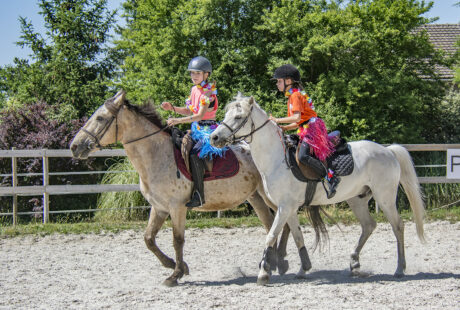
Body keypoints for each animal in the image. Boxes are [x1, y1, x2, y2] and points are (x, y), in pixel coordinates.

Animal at [210, 94, 426, 286]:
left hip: (385, 198)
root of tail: (387, 150)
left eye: (238, 117)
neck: (276, 159)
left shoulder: (285, 207)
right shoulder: (288, 208)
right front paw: (303, 269)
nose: (214, 137)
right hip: (357, 199)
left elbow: (271, 235)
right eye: (227, 113)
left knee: (397, 226)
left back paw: (400, 269)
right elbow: (297, 236)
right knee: (368, 225)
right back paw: (354, 262)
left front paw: (263, 273)